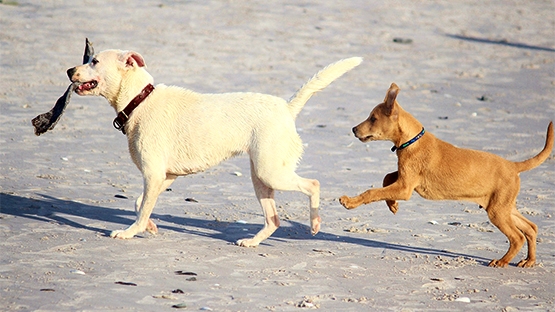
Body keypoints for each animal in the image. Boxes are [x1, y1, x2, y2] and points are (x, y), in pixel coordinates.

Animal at [67, 48, 362, 247]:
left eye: (94, 61)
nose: (69, 71)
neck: (139, 100)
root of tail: (287, 108)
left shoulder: (153, 174)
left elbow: (140, 209)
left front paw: (130, 232)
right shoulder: (165, 176)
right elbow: (140, 203)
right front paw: (150, 226)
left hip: (271, 172)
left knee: (313, 184)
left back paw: (315, 223)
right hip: (261, 178)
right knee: (274, 220)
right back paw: (252, 242)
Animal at [340, 83, 552, 268]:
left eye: (373, 119)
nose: (353, 129)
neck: (411, 140)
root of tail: (513, 165)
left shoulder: (405, 187)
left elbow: (372, 192)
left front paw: (349, 202)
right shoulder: (404, 179)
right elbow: (386, 178)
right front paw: (392, 205)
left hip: (497, 211)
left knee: (517, 237)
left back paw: (502, 261)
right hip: (503, 206)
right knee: (531, 228)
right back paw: (529, 261)